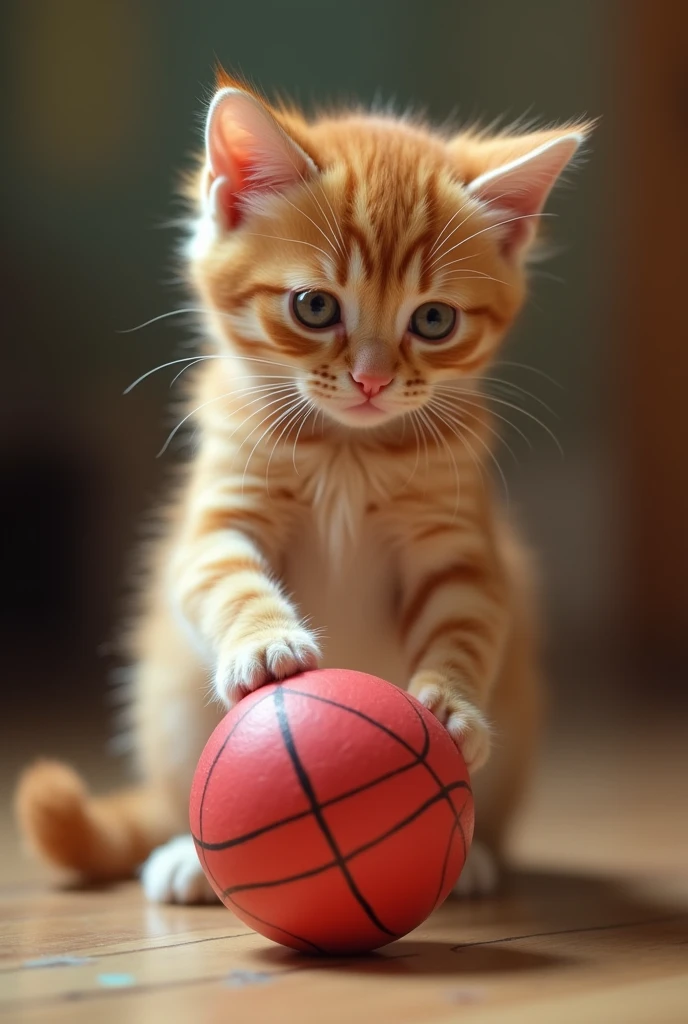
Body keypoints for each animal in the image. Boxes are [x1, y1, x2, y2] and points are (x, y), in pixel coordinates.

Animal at [16, 72, 589, 905]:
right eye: (315, 307)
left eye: (435, 320)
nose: (372, 380)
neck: (345, 451)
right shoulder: (220, 517)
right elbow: (224, 576)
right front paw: (265, 641)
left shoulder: (458, 542)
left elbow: (467, 616)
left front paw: (450, 699)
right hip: (168, 701)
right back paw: (188, 858)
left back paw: (474, 858)